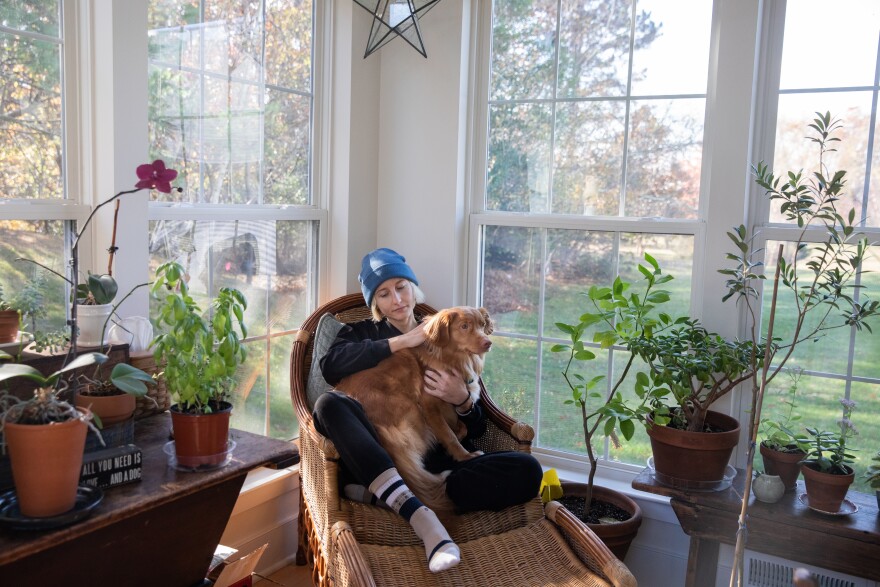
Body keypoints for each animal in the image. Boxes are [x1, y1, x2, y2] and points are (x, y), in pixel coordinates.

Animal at [336, 306, 492, 512]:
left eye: (482, 325)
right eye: (464, 326)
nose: (488, 343)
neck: (452, 358)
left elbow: (463, 426)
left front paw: (458, 433)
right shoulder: (429, 406)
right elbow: (448, 435)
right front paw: (464, 456)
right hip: (412, 408)